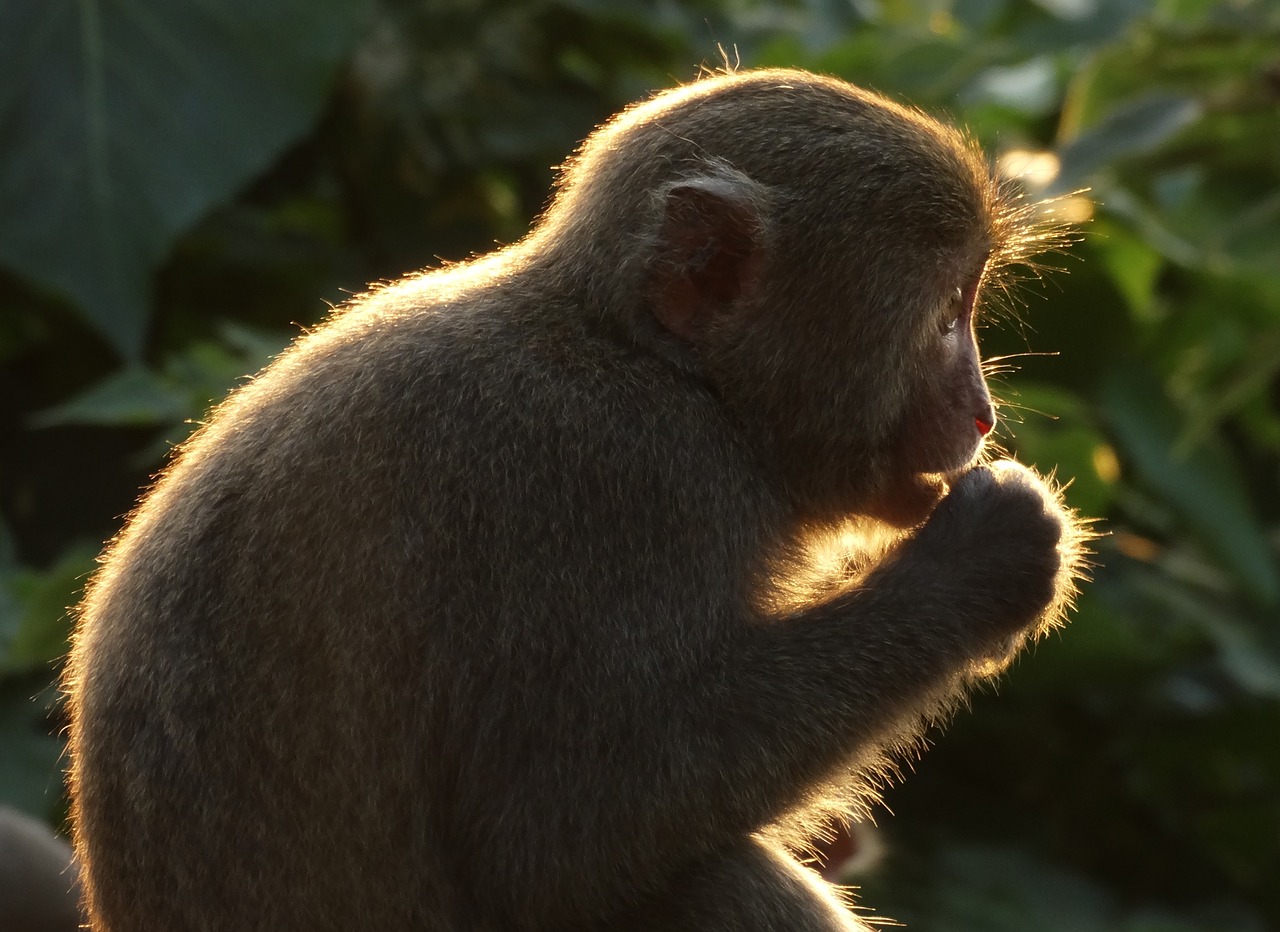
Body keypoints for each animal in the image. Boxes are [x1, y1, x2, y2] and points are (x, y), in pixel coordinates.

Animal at [60, 67, 1080, 932]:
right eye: (946, 316)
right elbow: (555, 838)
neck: (651, 360)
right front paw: (982, 562)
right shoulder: (627, 485)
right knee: (700, 879)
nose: (982, 411)